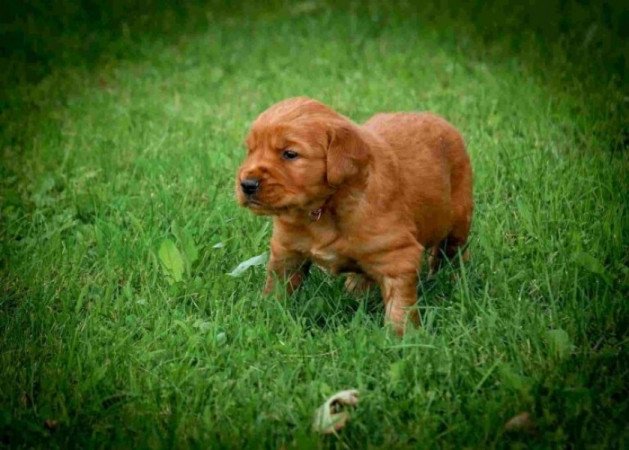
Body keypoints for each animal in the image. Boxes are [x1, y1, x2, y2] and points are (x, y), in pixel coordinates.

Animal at [236, 97, 472, 334]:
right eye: (250, 150)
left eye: (290, 154)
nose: (247, 184)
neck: (323, 208)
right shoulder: (287, 250)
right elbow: (276, 287)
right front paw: (268, 315)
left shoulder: (399, 255)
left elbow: (399, 305)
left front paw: (403, 336)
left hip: (459, 221)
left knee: (453, 254)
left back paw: (455, 282)